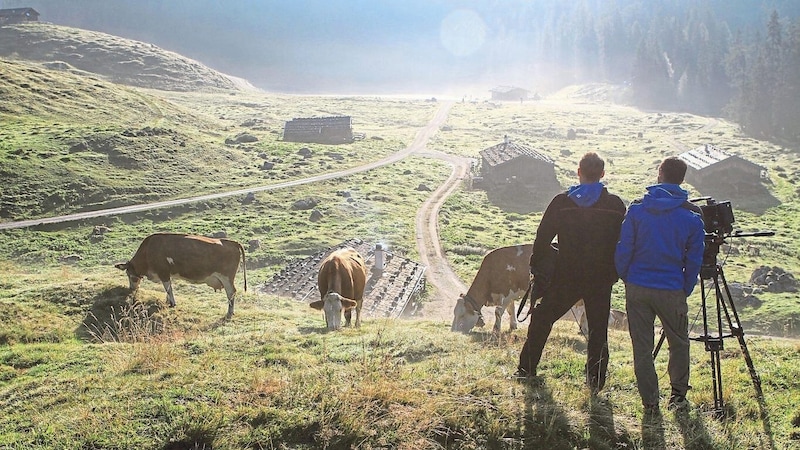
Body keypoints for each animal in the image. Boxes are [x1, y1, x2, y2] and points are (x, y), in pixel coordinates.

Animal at [113, 234, 247, 318]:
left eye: (128, 274)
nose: (131, 288)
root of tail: (231, 242)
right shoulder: (167, 274)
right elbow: (168, 288)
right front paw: (167, 301)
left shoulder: (163, 272)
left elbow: (168, 289)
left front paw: (172, 303)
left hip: (226, 277)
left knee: (231, 292)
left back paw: (230, 312)